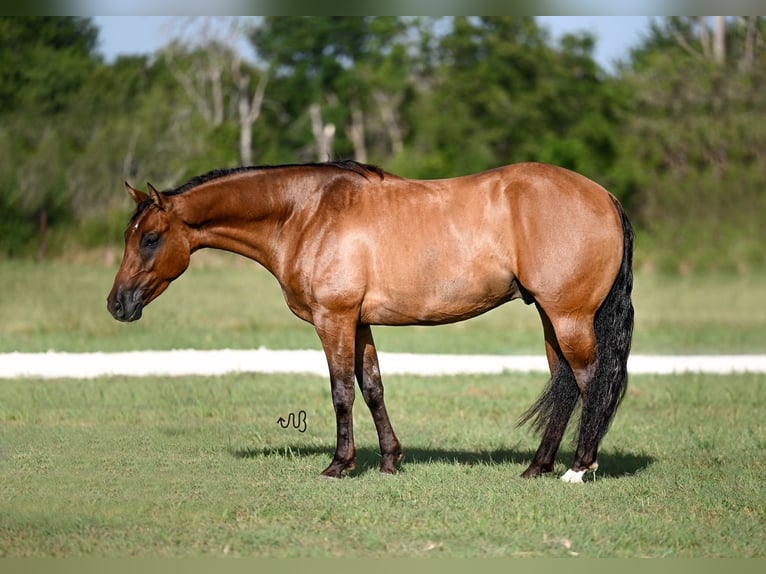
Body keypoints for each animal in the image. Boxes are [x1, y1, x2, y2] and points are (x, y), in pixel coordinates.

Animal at [108, 161, 636, 486]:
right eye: (131, 236)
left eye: (150, 238)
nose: (117, 304)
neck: (307, 213)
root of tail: (605, 195)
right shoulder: (358, 323)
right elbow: (373, 386)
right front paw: (389, 460)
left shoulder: (334, 319)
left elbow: (342, 389)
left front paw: (339, 464)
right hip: (550, 316)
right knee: (564, 383)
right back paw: (537, 467)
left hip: (569, 316)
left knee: (590, 381)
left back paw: (578, 469)